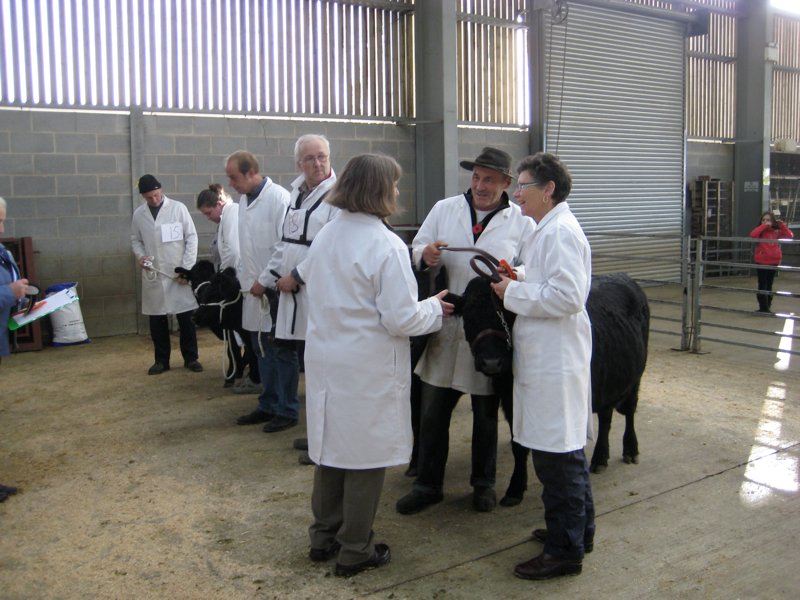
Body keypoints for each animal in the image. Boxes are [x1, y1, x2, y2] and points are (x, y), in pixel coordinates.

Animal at [456, 270, 648, 502]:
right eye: (468, 317)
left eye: (507, 314)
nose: (491, 362)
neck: (509, 378)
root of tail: (623, 275)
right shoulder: (511, 404)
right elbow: (518, 447)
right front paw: (516, 488)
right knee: (606, 417)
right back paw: (600, 458)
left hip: (635, 377)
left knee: (629, 411)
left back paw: (631, 449)